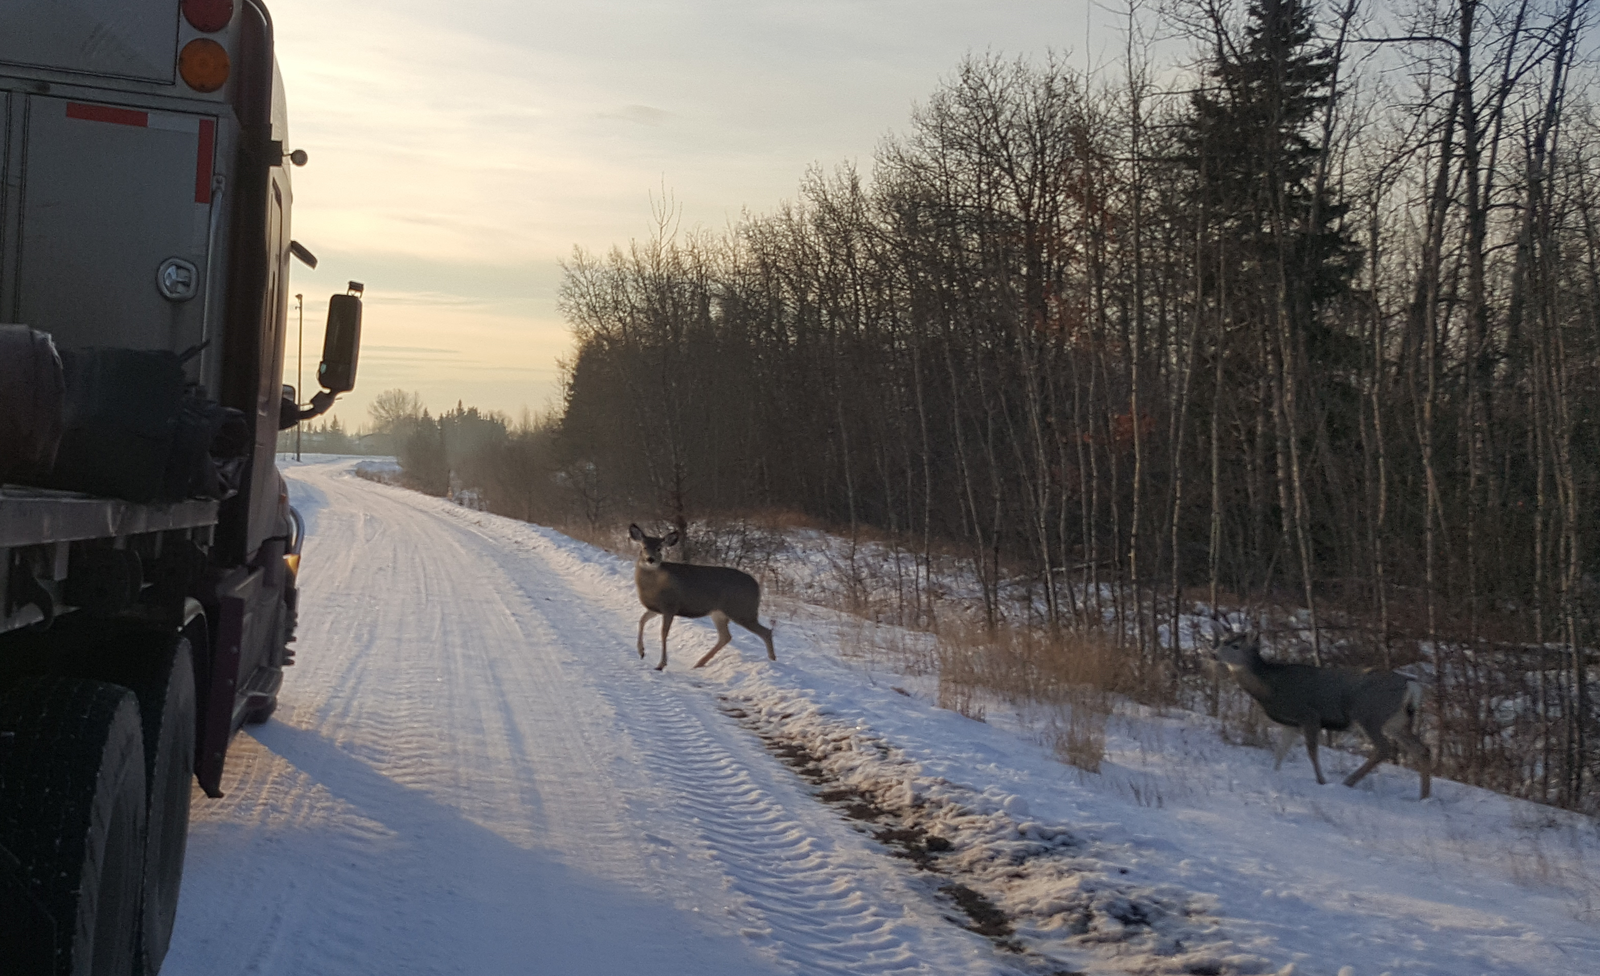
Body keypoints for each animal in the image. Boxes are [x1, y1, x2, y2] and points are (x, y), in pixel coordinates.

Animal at [624, 524, 774, 668]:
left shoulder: (670, 606)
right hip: (719, 613)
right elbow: (642, 620)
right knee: (726, 636)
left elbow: (663, 632)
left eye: (659, 548)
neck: (654, 586)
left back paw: (772, 660)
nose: (650, 559)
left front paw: (661, 664)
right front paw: (641, 651)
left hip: (741, 610)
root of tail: (757, 586)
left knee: (765, 632)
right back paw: (699, 663)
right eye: (643, 547)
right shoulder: (656, 608)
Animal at [1209, 630, 1440, 796]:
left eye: (1235, 645)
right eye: (1222, 641)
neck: (1270, 687)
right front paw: (1275, 774)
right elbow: (1280, 752)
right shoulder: (1290, 723)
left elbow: (1312, 751)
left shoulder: (1309, 715)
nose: (1212, 653)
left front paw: (1321, 781)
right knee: (1423, 750)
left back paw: (1348, 781)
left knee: (1384, 748)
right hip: (1397, 721)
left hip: (1369, 714)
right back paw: (1424, 797)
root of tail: (1410, 685)